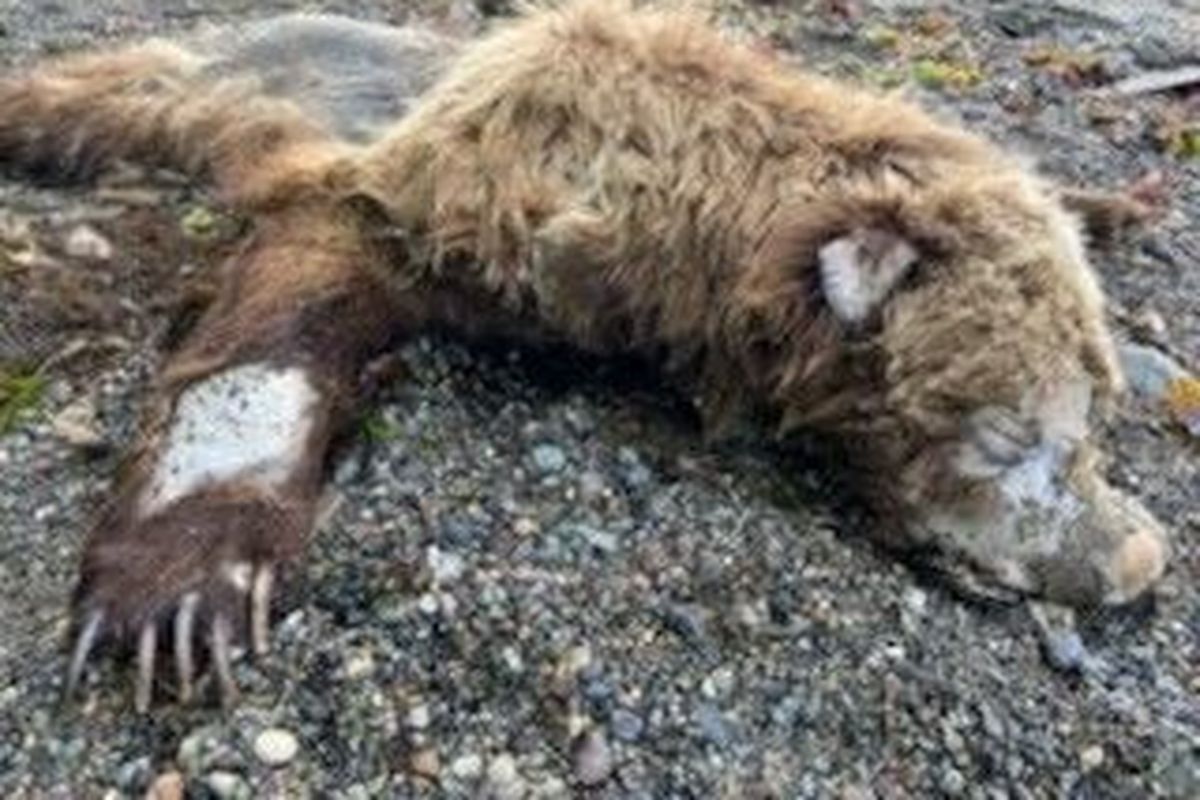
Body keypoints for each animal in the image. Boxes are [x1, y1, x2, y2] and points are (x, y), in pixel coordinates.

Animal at [0, 1, 1166, 714]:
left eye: (1096, 422)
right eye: (1007, 436)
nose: (1141, 561)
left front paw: (1106, 201)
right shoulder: (437, 190)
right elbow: (298, 298)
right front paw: (183, 587)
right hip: (207, 74)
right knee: (101, 89)